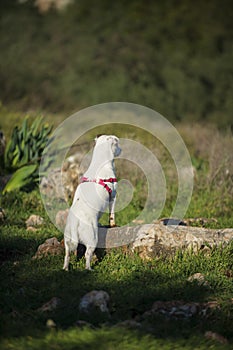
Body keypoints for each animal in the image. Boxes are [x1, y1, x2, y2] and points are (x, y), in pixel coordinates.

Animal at [63, 135, 122, 270]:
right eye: (117, 143)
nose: (122, 149)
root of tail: (76, 222)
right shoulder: (113, 197)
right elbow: (112, 215)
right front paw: (113, 224)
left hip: (68, 239)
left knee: (67, 254)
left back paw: (66, 269)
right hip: (92, 239)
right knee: (87, 255)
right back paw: (89, 269)